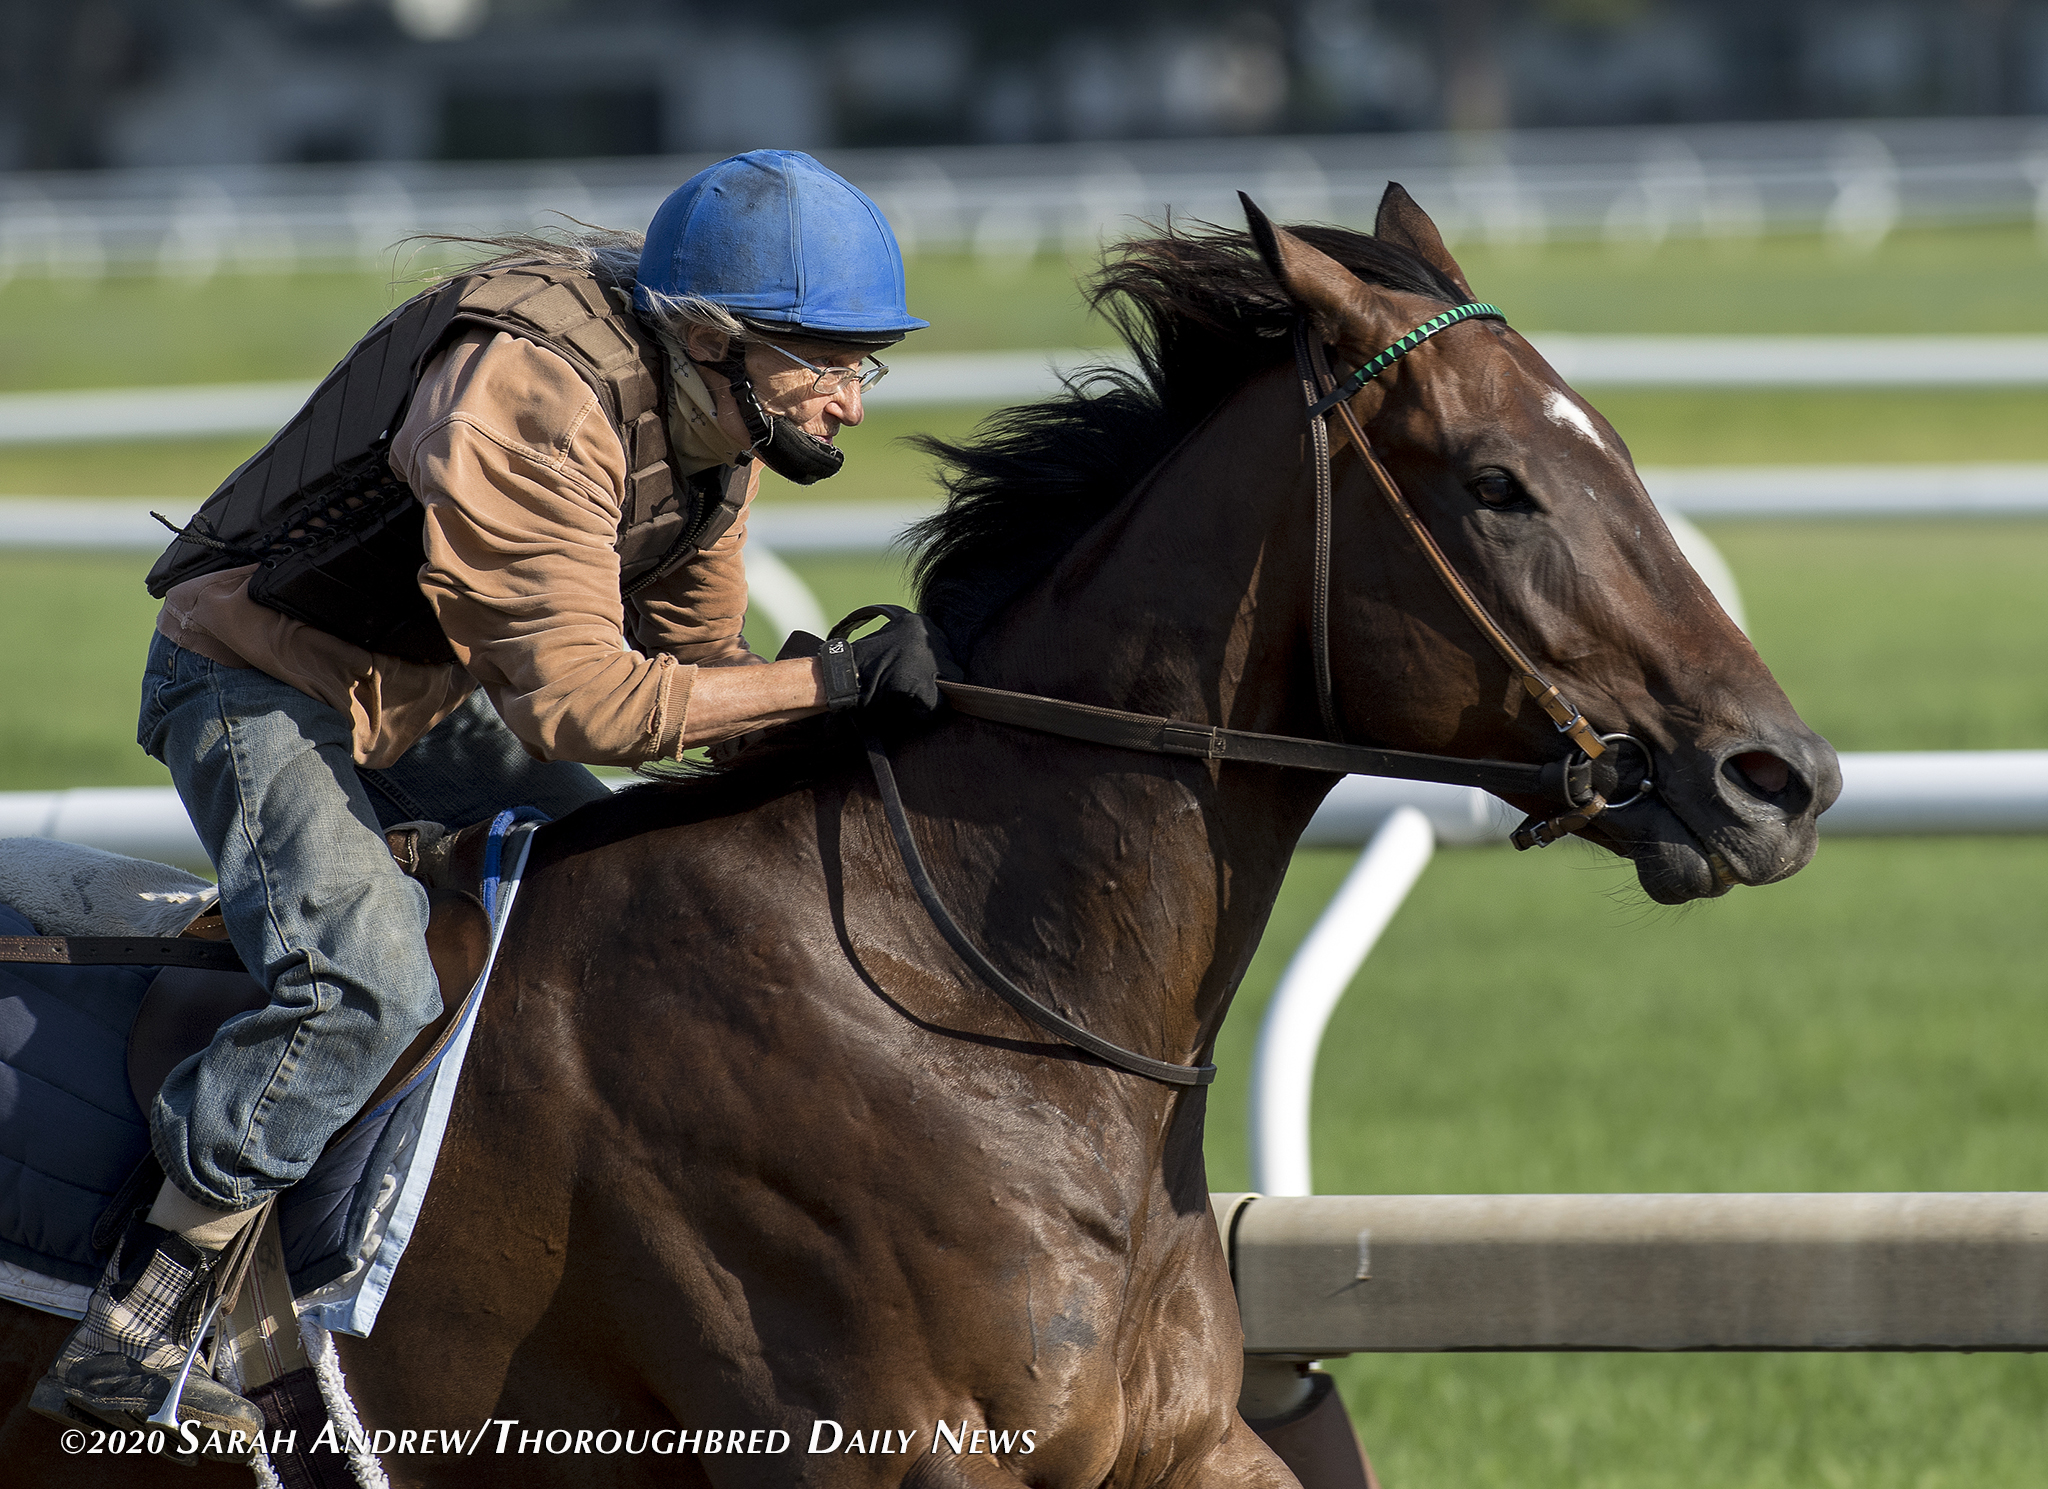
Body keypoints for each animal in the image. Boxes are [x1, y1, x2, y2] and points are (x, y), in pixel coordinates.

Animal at [0, 189, 1835, 1489]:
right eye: (1495, 482)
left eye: (1608, 444)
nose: (1782, 776)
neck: (969, 996)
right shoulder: (888, 1449)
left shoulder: (1180, 1437)